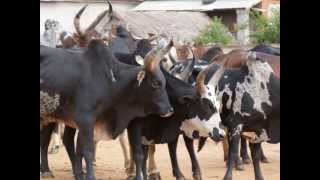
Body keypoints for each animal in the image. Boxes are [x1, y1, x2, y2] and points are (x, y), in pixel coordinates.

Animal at [41, 39, 175, 180]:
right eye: (155, 83)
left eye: (164, 83)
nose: (169, 109)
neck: (109, 82)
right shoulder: (85, 121)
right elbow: (87, 151)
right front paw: (90, 176)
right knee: (47, 139)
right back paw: (46, 171)